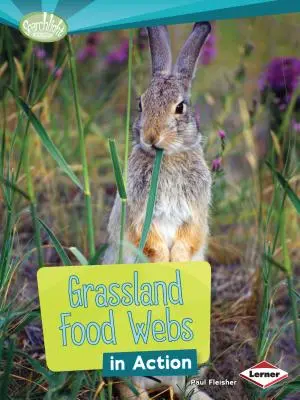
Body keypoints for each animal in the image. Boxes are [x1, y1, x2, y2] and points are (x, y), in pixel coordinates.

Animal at [103, 21, 213, 400]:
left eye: (181, 107)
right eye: (140, 103)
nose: (151, 137)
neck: (168, 157)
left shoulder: (195, 214)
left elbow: (189, 238)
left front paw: (176, 262)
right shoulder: (137, 212)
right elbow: (148, 238)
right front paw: (163, 264)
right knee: (130, 385)